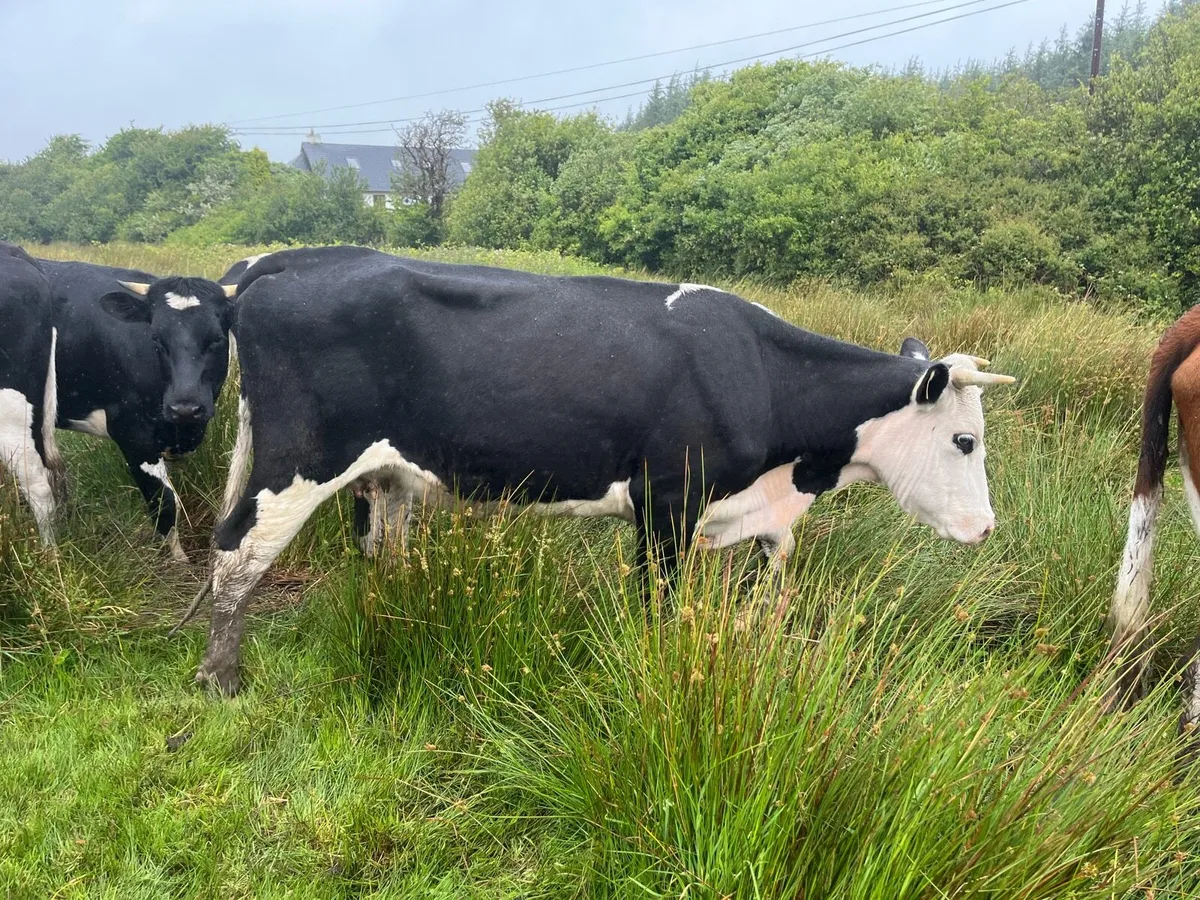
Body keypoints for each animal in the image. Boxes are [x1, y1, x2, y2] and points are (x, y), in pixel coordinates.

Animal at [38, 258, 238, 561]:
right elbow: (165, 502)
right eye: (155, 338)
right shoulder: (132, 434)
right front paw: (178, 560)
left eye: (216, 338)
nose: (185, 407)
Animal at [180, 245, 1015, 696]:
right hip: (298, 460)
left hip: (381, 473)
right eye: (965, 441)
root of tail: (279, 266)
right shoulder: (668, 501)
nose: (986, 528)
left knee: (380, 547)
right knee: (237, 550)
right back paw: (220, 676)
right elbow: (656, 606)